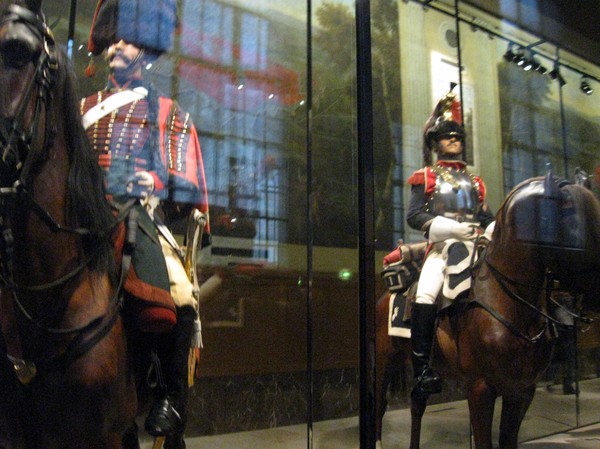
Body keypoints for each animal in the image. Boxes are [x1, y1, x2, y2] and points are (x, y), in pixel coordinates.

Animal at [376, 172, 600, 448]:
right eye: (575, 226)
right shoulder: (480, 389)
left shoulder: (522, 390)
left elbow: (508, 438)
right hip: (385, 359)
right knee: (379, 405)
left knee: (417, 402)